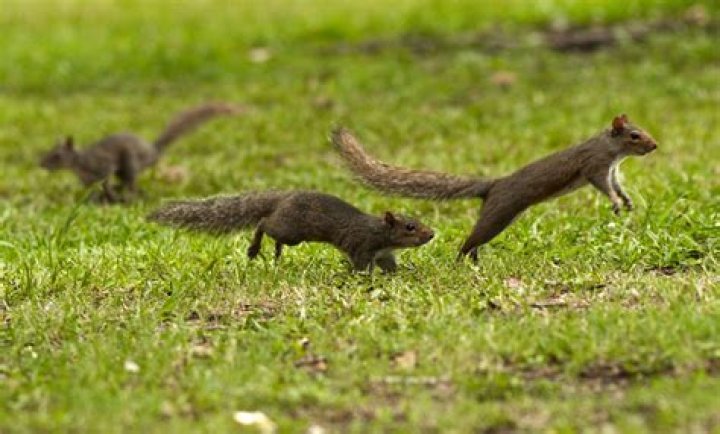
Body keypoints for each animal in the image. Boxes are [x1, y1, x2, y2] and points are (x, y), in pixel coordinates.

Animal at [39, 102, 244, 202]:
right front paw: (96, 197)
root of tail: (153, 151)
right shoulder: (87, 180)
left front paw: (108, 196)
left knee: (131, 182)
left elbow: (105, 180)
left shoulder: (101, 165)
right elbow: (93, 188)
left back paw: (127, 194)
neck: (78, 163)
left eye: (57, 156)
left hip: (130, 161)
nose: (41, 164)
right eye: (49, 152)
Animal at [147, 190, 435, 272]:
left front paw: (402, 274)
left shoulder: (383, 253)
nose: (431, 234)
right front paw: (365, 277)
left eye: (417, 220)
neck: (380, 232)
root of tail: (283, 198)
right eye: (410, 227)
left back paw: (275, 253)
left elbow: (390, 266)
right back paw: (254, 248)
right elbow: (361, 266)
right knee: (263, 223)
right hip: (292, 230)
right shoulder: (361, 245)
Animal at [331, 114, 658, 262]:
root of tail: (494, 185)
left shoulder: (612, 169)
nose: (654, 145)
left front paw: (626, 201)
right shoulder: (594, 165)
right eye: (634, 135)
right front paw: (615, 202)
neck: (612, 150)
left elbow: (617, 184)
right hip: (499, 214)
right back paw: (461, 260)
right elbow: (603, 185)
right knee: (470, 240)